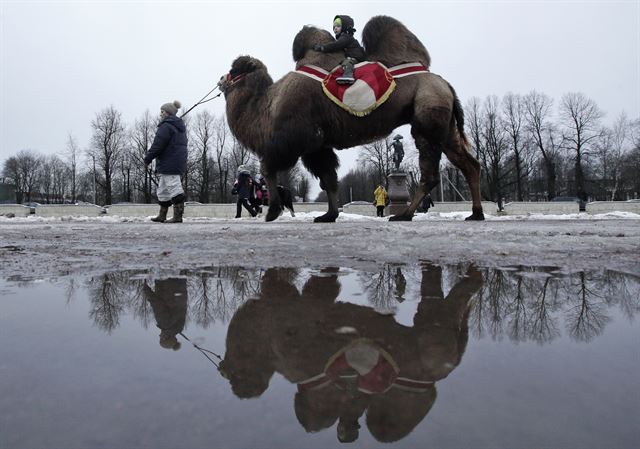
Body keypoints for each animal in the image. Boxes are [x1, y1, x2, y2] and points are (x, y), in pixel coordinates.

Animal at [218, 15, 482, 222]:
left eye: (234, 70)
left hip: (427, 121)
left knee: (430, 173)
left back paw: (404, 214)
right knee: (469, 164)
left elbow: (269, 168)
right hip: (445, 126)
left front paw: (273, 211)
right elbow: (329, 179)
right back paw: (475, 213)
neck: (268, 105)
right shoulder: (318, 147)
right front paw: (328, 215)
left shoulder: (295, 138)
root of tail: (445, 84)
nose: (221, 79)